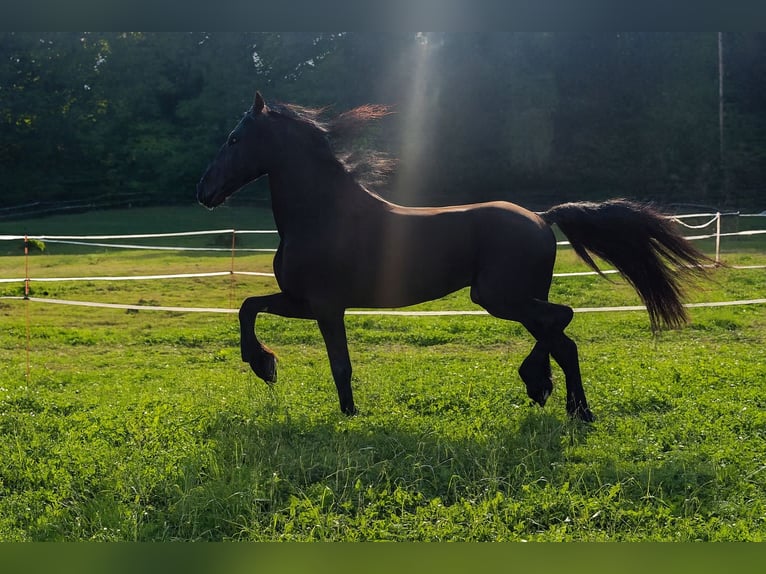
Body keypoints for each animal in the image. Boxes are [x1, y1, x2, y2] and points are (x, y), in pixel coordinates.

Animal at [196, 91, 710, 422]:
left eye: (235, 139)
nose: (204, 191)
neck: (323, 215)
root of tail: (542, 217)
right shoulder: (303, 302)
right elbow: (248, 308)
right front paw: (265, 366)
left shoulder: (325, 306)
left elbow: (339, 365)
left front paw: (344, 414)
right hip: (515, 300)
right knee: (562, 338)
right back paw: (569, 406)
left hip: (500, 298)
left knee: (562, 320)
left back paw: (548, 391)